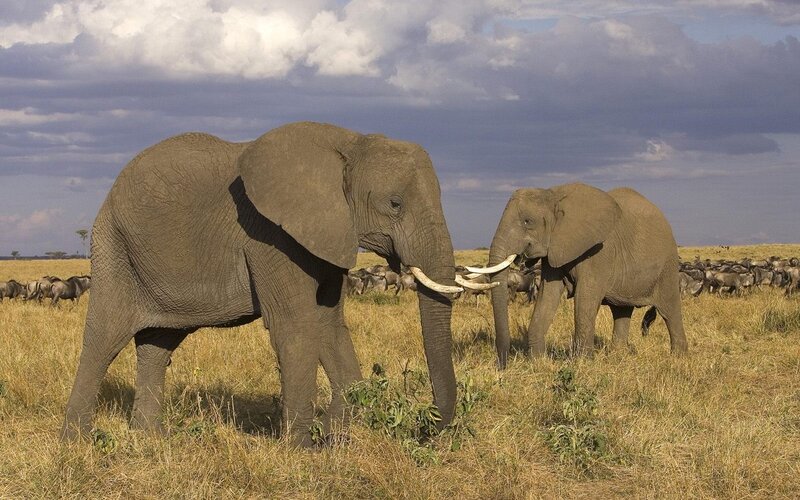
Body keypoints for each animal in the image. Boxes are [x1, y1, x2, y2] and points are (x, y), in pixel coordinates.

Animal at [61, 121, 470, 447]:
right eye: (395, 203)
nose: (427, 429)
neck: (350, 143)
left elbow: (329, 325)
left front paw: (336, 436)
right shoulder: (269, 236)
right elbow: (296, 326)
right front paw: (303, 449)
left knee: (158, 344)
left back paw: (150, 439)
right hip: (113, 246)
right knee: (104, 338)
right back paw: (77, 443)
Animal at [474, 183, 688, 368]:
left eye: (528, 222)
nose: (502, 367)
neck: (552, 195)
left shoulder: (600, 251)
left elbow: (586, 298)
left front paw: (582, 364)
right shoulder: (555, 247)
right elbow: (547, 295)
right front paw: (539, 362)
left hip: (668, 264)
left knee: (669, 311)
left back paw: (678, 358)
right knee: (621, 311)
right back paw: (618, 356)